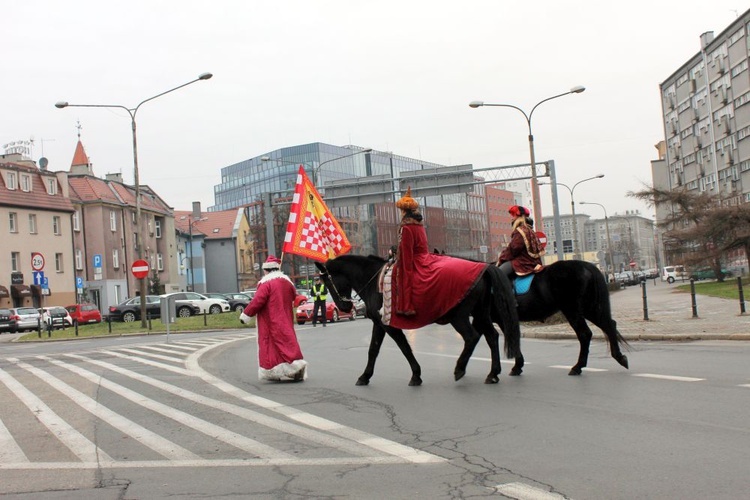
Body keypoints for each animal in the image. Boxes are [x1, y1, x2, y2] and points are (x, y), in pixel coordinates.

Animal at [316, 256, 524, 384]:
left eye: (327, 281)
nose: (343, 307)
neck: (374, 282)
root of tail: (484, 267)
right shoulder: (380, 324)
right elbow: (373, 350)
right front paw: (365, 376)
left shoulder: (389, 325)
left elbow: (404, 347)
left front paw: (416, 374)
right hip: (480, 314)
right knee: (492, 336)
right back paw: (493, 373)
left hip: (459, 316)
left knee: (472, 337)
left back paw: (460, 368)